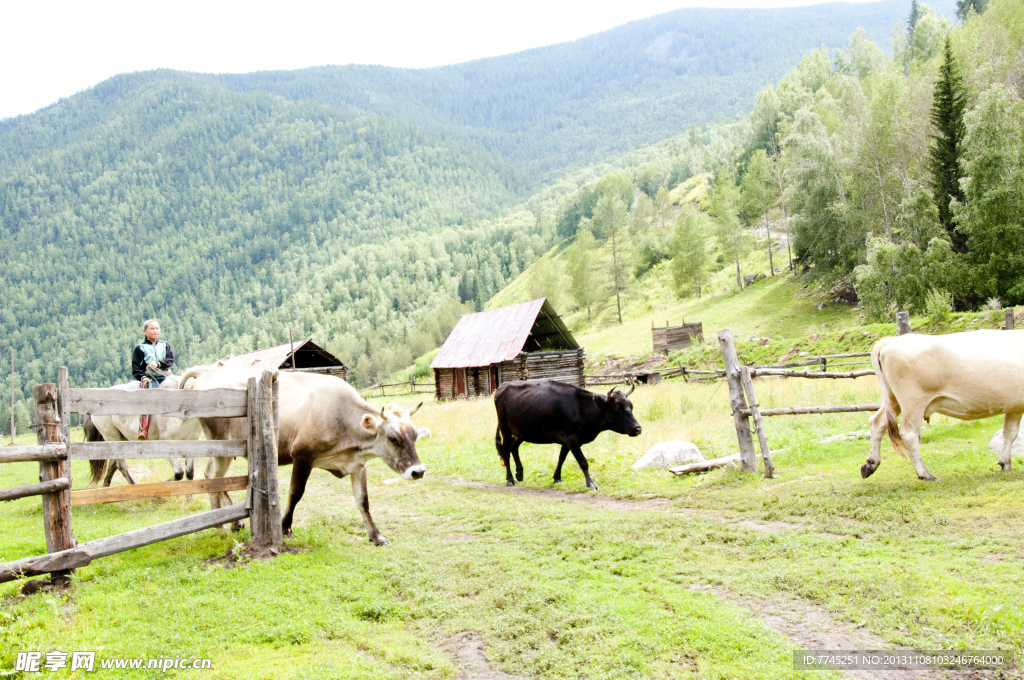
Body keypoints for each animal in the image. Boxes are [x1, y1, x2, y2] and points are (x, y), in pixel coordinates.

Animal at [180, 364, 423, 544]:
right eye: (393, 438)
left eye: (414, 435)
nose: (418, 471)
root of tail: (208, 372)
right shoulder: (302, 456)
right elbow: (295, 493)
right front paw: (285, 526)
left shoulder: (357, 464)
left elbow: (363, 501)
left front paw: (376, 536)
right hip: (220, 443)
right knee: (214, 478)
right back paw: (223, 524)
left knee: (211, 476)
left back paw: (227, 523)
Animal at [493, 383, 643, 489]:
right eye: (617, 409)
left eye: (631, 406)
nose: (638, 429)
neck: (583, 408)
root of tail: (502, 387)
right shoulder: (572, 439)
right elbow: (583, 462)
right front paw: (591, 483)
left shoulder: (567, 440)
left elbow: (561, 458)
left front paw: (557, 477)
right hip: (505, 429)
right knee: (506, 452)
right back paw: (510, 479)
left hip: (521, 432)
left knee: (514, 448)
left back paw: (519, 473)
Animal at [864, 327, 1024, 477]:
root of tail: (890, 341)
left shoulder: (1014, 406)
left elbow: (1010, 433)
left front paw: (1006, 464)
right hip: (912, 402)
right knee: (908, 433)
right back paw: (925, 474)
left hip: (892, 400)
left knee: (877, 422)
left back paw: (871, 464)